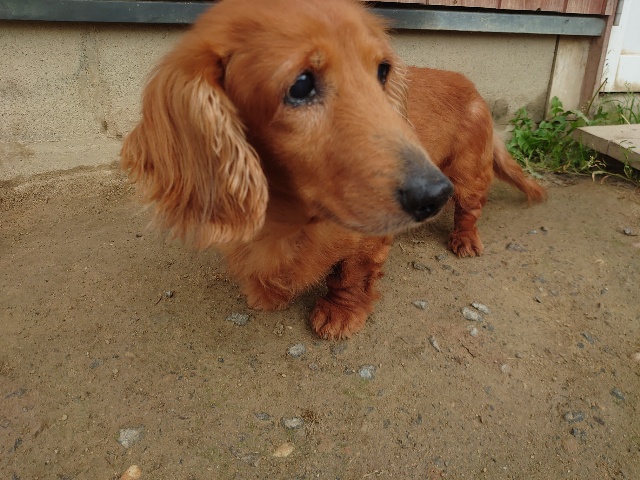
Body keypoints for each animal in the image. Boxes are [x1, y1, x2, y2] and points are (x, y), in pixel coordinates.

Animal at [121, 0, 543, 339]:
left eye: (382, 71)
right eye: (301, 85)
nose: (434, 194)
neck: (292, 218)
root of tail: (473, 88)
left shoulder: (369, 239)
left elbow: (351, 275)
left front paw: (340, 314)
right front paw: (265, 292)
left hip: (467, 174)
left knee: (470, 208)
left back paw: (465, 240)